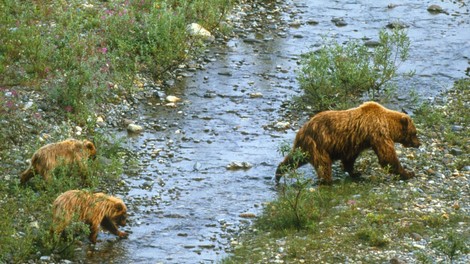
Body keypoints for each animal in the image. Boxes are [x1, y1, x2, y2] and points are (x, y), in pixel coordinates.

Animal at [274, 101, 420, 184]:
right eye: (414, 133)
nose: (419, 144)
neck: (388, 124)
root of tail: (302, 130)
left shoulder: (354, 142)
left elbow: (349, 158)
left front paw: (355, 173)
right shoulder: (378, 133)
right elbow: (387, 156)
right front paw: (408, 173)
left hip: (304, 147)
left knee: (294, 159)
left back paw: (279, 172)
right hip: (318, 144)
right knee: (323, 164)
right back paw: (328, 181)